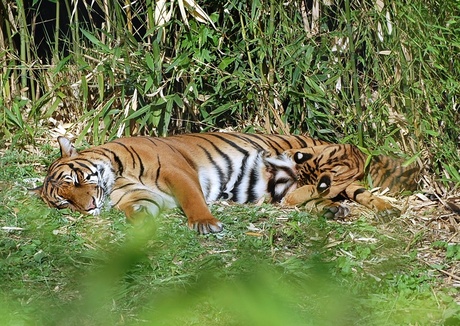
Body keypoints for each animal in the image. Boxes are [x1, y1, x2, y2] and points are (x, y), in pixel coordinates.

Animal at [34, 132, 326, 234]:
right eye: (65, 203)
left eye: (76, 179)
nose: (90, 207)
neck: (115, 177)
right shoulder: (138, 196)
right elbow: (138, 210)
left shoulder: (175, 170)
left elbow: (191, 198)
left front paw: (205, 223)